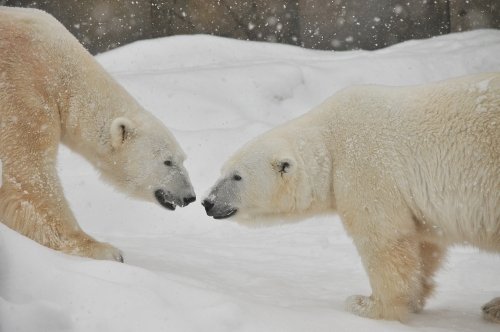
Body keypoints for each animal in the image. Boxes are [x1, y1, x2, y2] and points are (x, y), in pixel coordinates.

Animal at [0, 6, 195, 262]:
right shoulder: (22, 85)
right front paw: (105, 250)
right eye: (167, 161)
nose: (190, 196)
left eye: (183, 159)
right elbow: (29, 177)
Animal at [203, 72, 500, 322]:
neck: (330, 140)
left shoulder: (366, 165)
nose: (208, 201)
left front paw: (368, 305)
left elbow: (383, 238)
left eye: (237, 176)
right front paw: (415, 296)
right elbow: (425, 242)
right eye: (223, 170)